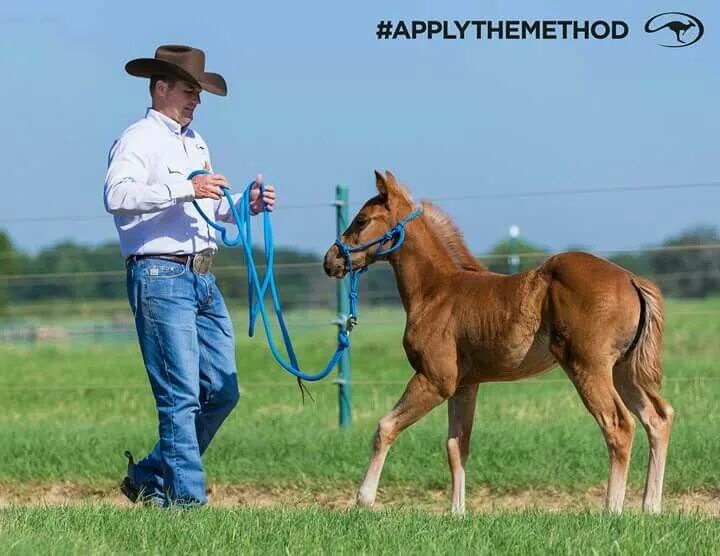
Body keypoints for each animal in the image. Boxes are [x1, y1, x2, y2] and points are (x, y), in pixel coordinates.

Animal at [324, 172, 672, 516]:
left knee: (618, 425)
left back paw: (612, 509)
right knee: (658, 417)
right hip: (624, 371)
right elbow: (457, 445)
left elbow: (385, 427)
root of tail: (631, 279)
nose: (331, 260)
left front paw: (364, 499)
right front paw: (457, 512)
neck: (436, 292)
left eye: (361, 220)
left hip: (588, 367)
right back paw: (651, 507)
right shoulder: (466, 385)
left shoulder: (435, 380)